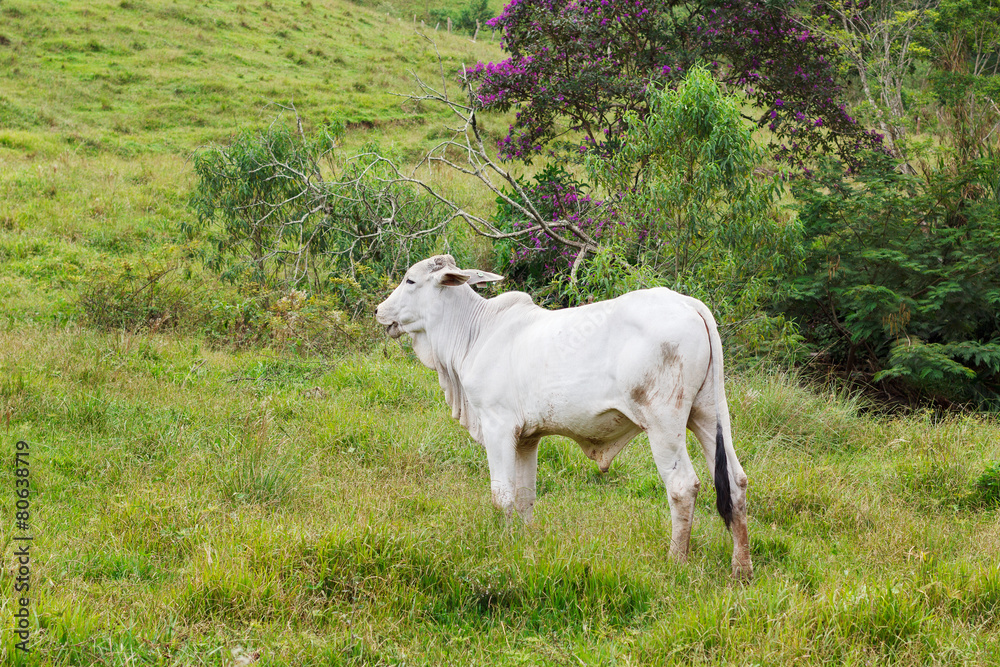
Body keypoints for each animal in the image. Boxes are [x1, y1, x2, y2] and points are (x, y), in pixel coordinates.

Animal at [375, 255, 752, 579]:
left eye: (410, 280)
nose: (379, 311)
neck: (476, 333)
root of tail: (690, 304)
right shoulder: (526, 438)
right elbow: (525, 496)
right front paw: (524, 543)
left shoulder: (498, 428)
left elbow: (503, 497)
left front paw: (502, 547)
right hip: (708, 412)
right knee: (735, 481)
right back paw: (741, 569)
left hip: (664, 422)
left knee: (683, 486)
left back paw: (676, 561)